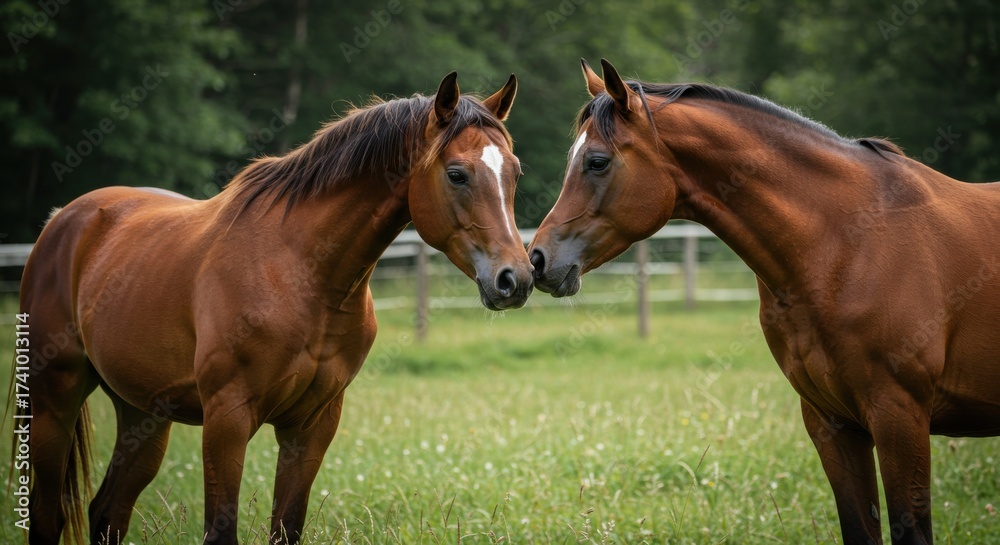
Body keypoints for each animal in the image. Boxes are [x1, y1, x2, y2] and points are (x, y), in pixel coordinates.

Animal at [17, 71, 532, 545]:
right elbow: (220, 532)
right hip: (54, 402)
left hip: (142, 414)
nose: (516, 279)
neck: (301, 273)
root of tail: (63, 221)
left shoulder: (312, 424)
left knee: (107, 512)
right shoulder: (227, 419)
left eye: (514, 172)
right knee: (47, 515)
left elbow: (287, 527)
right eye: (456, 174)